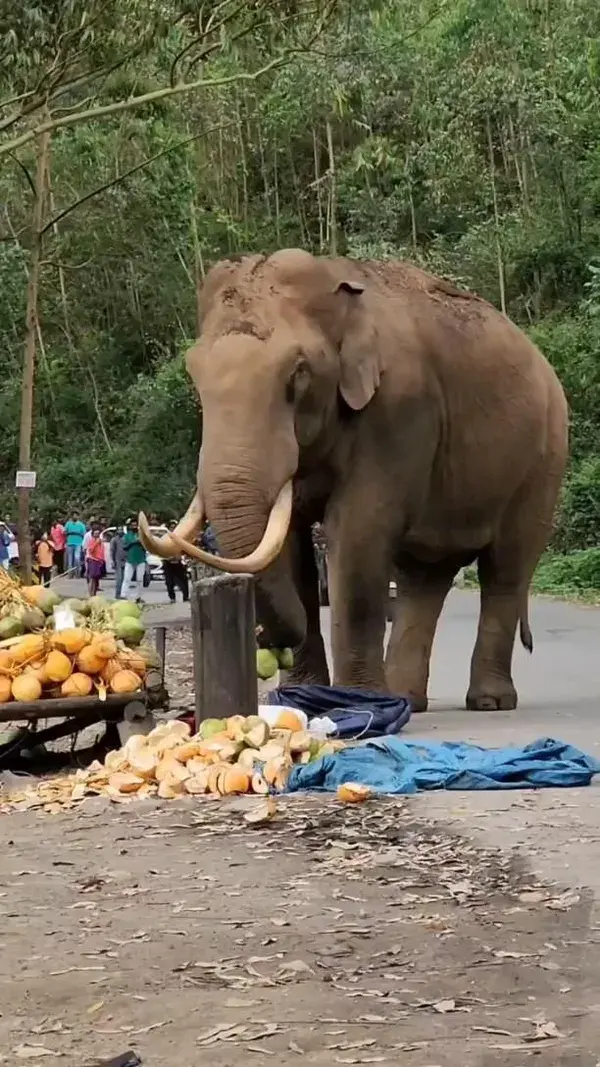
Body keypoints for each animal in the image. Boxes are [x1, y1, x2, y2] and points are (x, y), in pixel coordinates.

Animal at [139, 248, 563, 712]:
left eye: (298, 373)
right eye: (194, 376)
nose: (262, 638)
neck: (336, 284)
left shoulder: (399, 409)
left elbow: (358, 531)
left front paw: (357, 700)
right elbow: (290, 542)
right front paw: (301, 700)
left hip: (544, 461)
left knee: (505, 569)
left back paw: (488, 701)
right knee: (424, 577)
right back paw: (406, 698)